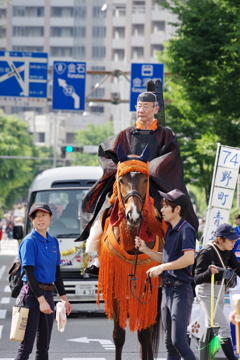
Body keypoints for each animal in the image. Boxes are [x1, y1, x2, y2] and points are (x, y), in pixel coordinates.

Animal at [95, 144, 167, 360]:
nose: (133, 216)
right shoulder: (116, 284)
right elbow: (118, 335)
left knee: (148, 333)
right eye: (121, 180)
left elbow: (144, 334)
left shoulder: (148, 283)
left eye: (145, 180)